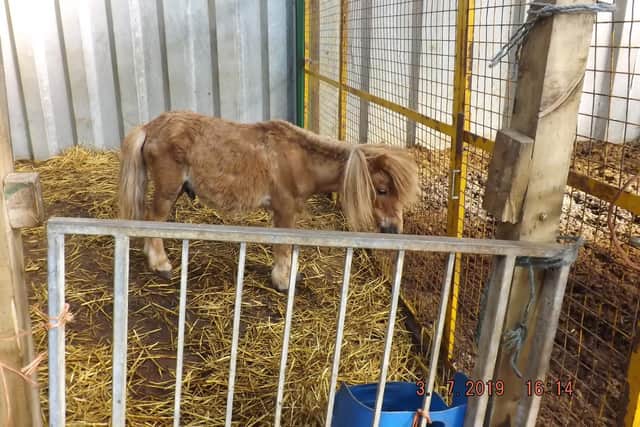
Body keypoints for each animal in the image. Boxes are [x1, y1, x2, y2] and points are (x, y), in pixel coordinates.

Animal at [117, 111, 419, 291]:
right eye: (382, 189)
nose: (394, 229)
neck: (301, 160)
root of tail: (150, 127)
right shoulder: (284, 210)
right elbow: (283, 248)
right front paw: (283, 281)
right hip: (168, 191)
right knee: (153, 221)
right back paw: (160, 265)